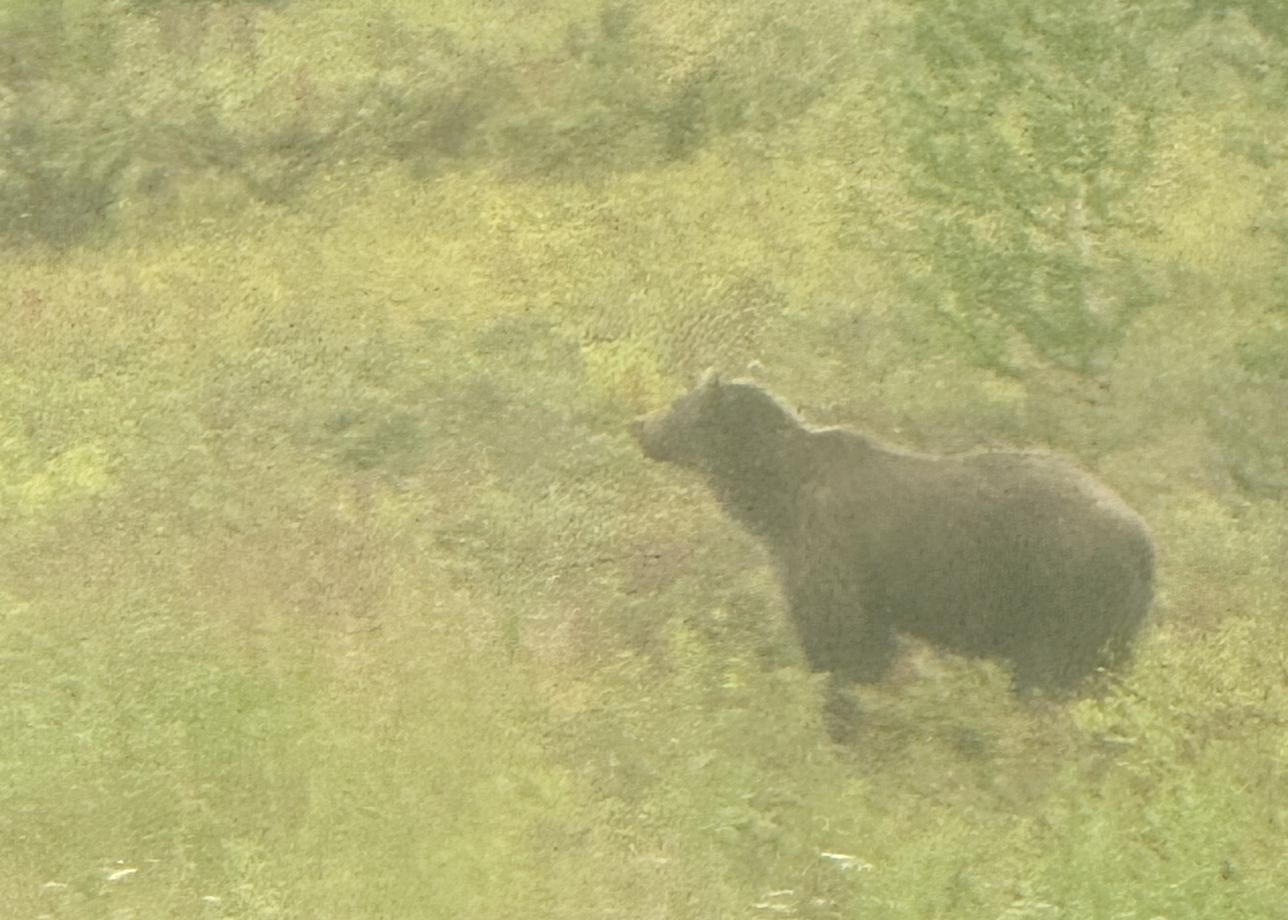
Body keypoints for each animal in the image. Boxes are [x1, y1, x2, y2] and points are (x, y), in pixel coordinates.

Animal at [633, 368, 1159, 690]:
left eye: (678, 405)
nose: (639, 424)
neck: (776, 500)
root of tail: (1143, 538)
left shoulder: (831, 551)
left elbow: (841, 641)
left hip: (1064, 594)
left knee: (1051, 674)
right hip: (1113, 622)